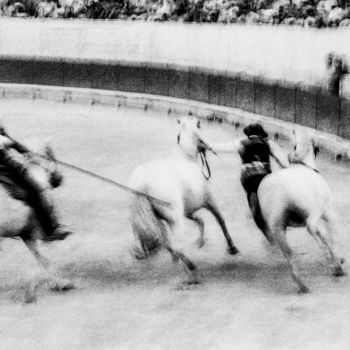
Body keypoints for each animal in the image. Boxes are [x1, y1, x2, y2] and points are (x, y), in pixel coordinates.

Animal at [127, 117, 239, 284]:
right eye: (200, 127)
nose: (206, 147)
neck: (187, 158)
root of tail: (142, 183)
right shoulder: (210, 201)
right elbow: (221, 220)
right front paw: (232, 247)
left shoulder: (187, 211)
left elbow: (199, 220)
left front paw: (200, 242)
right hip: (175, 220)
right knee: (175, 244)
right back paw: (190, 273)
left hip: (156, 219)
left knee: (167, 243)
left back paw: (182, 264)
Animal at [258, 133, 344, 294]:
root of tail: (281, 189)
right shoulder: (328, 212)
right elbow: (333, 235)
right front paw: (338, 259)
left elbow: (325, 235)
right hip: (313, 211)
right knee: (312, 228)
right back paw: (334, 266)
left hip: (277, 226)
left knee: (288, 252)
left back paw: (301, 283)